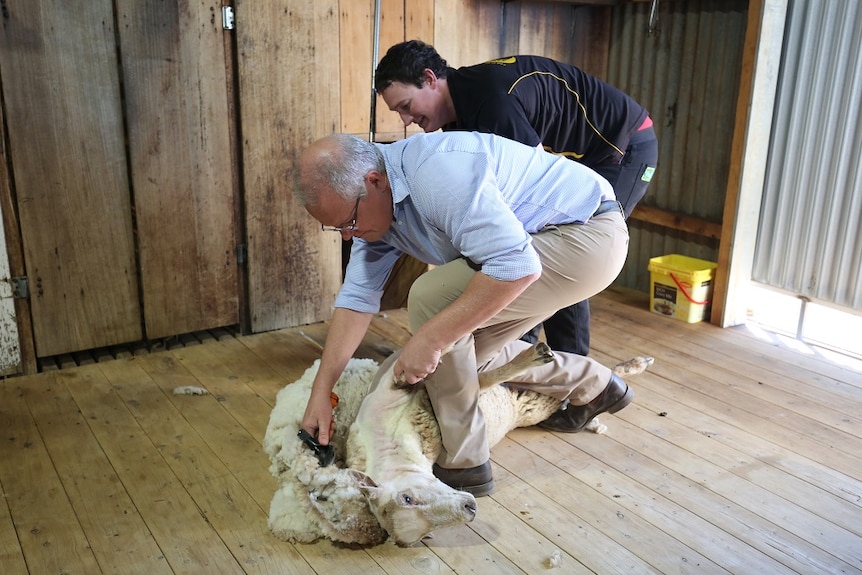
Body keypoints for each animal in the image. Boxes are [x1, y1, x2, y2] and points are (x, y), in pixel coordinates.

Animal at [264, 344, 656, 548]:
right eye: (426, 533)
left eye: (408, 497)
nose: (470, 507)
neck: (393, 442)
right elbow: (480, 380)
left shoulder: (405, 386)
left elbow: (473, 374)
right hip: (536, 406)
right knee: (567, 393)